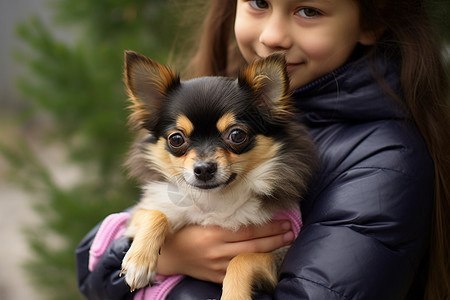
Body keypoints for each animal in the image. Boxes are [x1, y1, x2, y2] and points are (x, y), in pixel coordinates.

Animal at [119, 50, 316, 298]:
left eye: (237, 135)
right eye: (176, 139)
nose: (204, 168)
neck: (216, 200)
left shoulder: (279, 253)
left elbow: (241, 259)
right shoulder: (141, 213)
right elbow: (156, 214)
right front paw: (138, 262)